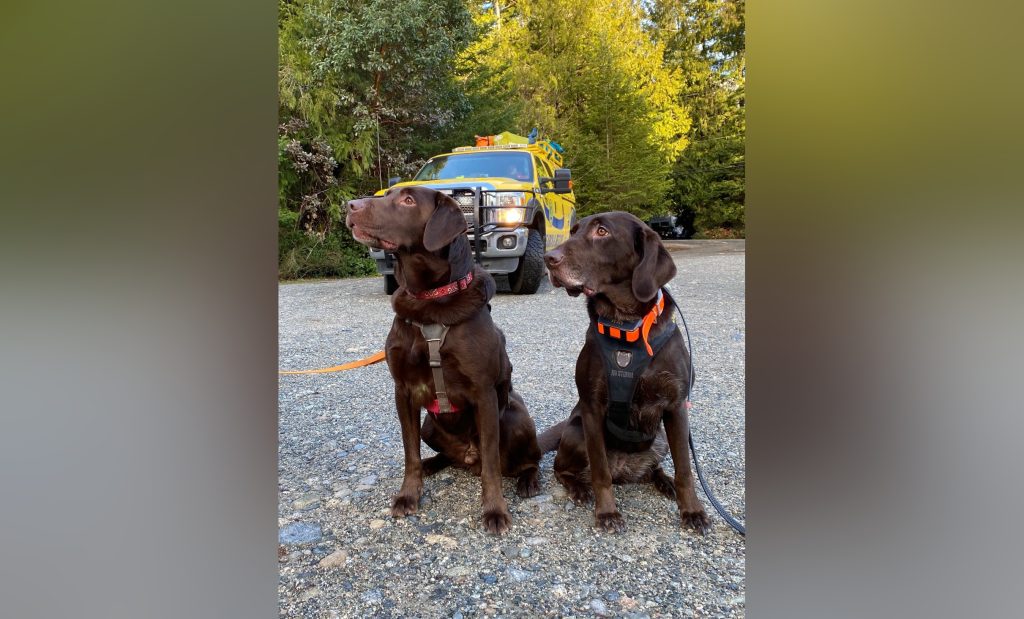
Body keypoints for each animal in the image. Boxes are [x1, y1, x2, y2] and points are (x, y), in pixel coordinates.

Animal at [346, 186, 544, 532]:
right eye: (389, 193)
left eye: (408, 200)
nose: (350, 206)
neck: (429, 302)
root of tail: (468, 458)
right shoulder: (403, 392)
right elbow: (409, 452)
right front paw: (408, 494)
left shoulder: (484, 394)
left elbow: (492, 464)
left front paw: (495, 510)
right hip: (430, 425)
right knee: (443, 454)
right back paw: (432, 464)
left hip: (515, 417)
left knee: (527, 460)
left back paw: (528, 481)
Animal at [540, 211, 708, 532]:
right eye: (573, 231)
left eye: (602, 232)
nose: (548, 258)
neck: (626, 326)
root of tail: (625, 470)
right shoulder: (592, 408)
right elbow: (600, 472)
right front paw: (607, 512)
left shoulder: (676, 406)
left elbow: (685, 469)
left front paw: (692, 511)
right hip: (577, 431)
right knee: (562, 468)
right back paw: (579, 488)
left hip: (661, 438)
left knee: (654, 469)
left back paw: (664, 481)